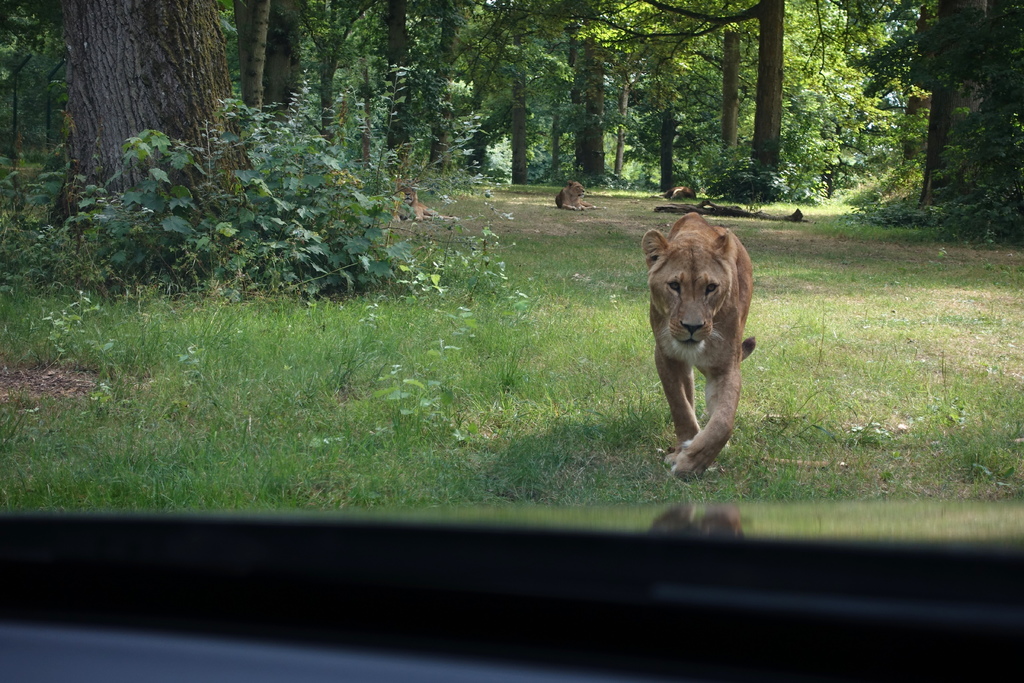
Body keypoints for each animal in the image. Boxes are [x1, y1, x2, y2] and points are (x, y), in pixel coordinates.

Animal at [643, 211, 757, 475]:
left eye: (711, 287)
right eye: (674, 285)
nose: (692, 327)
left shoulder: (727, 365)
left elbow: (723, 422)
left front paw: (693, 462)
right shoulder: (666, 356)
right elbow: (680, 406)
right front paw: (683, 451)